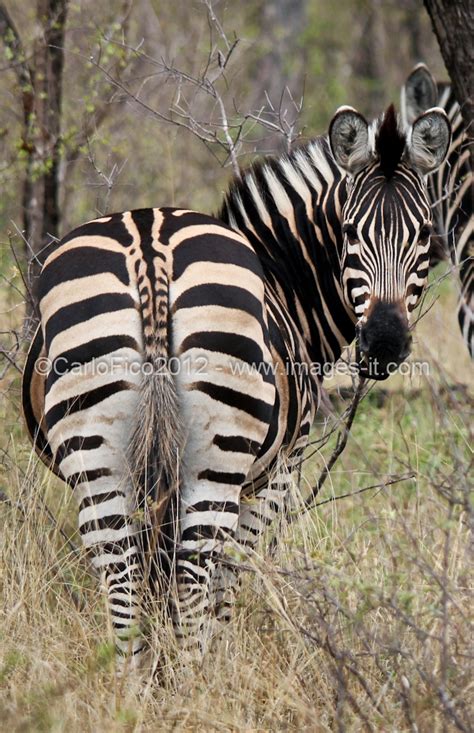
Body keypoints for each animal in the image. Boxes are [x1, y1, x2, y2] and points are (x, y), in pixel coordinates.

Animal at [21, 101, 452, 668]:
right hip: (218, 452)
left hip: (96, 448)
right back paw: (197, 677)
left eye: (423, 234)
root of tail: (149, 245)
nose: (383, 342)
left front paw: (163, 669)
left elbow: (159, 578)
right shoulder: (278, 472)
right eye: (350, 233)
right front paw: (215, 660)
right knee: (194, 571)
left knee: (122, 570)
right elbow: (229, 576)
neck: (283, 280)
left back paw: (131, 683)